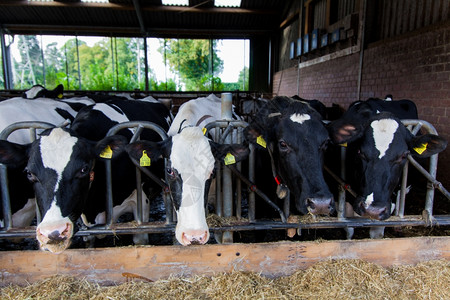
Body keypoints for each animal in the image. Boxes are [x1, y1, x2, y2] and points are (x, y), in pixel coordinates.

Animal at [0, 99, 171, 253]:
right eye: (29, 173)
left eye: (84, 169)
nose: (53, 232)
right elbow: (89, 242)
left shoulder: (141, 200)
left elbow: (140, 239)